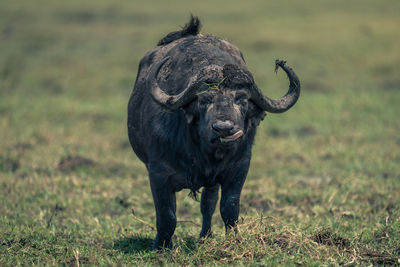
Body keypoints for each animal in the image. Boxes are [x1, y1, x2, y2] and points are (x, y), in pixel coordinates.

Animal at [126, 16, 298, 251]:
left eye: (242, 99)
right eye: (204, 99)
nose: (224, 128)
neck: (204, 154)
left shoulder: (239, 168)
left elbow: (229, 208)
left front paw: (234, 240)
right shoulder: (157, 172)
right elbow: (167, 214)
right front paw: (161, 247)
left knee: (208, 204)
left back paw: (205, 236)